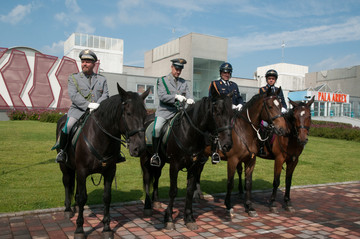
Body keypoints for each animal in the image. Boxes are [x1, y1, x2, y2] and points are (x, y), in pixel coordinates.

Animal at [54, 83, 149, 238]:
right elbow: (83, 198)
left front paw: (106, 227)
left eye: (145, 115)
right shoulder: (82, 171)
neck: (100, 138)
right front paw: (79, 229)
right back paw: (68, 209)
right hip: (65, 167)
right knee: (67, 183)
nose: (139, 148)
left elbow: (106, 197)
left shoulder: (109, 171)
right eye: (128, 113)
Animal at [139, 88, 232, 231]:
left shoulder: (194, 166)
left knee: (156, 178)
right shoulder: (174, 165)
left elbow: (189, 191)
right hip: (145, 159)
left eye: (232, 114)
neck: (188, 133)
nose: (227, 144)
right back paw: (148, 206)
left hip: (159, 162)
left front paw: (189, 218)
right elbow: (173, 191)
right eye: (217, 113)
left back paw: (157, 202)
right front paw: (169, 219)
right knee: (147, 178)